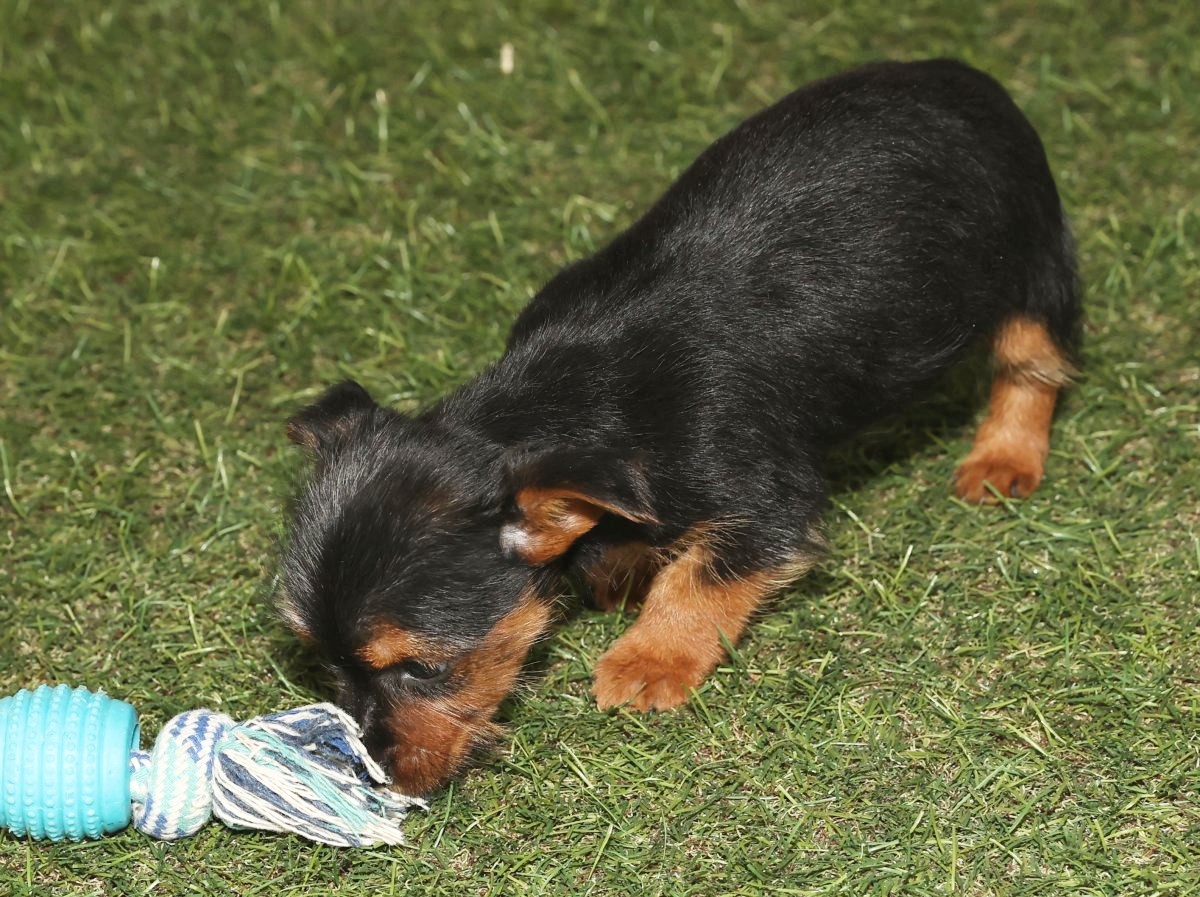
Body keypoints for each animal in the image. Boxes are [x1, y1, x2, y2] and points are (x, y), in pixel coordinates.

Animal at [277, 59, 1080, 795]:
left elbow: (701, 580)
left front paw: (649, 658)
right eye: (321, 657)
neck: (575, 393)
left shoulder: (764, 499)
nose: (375, 774)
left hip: (1035, 257)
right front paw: (624, 563)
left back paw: (1004, 458)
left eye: (422, 667)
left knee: (1033, 365)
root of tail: (958, 75)